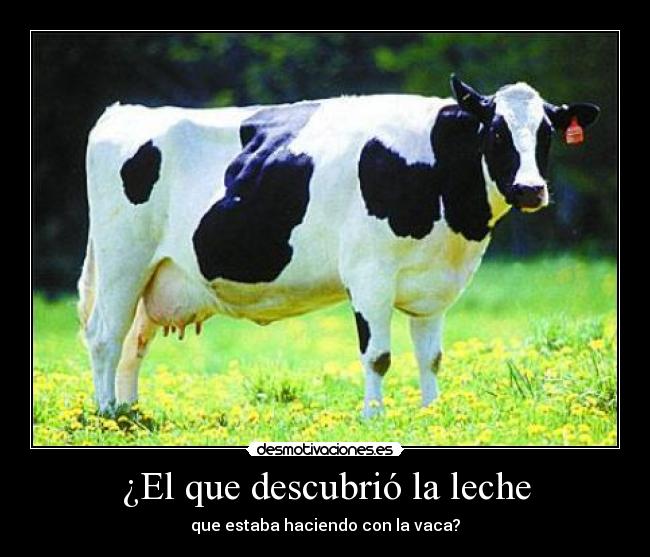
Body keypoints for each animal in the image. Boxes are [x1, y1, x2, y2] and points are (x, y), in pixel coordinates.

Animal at [77, 75, 600, 417]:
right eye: (496, 131)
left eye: (547, 134)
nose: (531, 189)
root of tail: (124, 111)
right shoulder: (369, 274)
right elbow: (379, 356)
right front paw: (373, 418)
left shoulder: (434, 286)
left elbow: (431, 356)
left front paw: (432, 413)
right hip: (123, 259)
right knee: (105, 335)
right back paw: (107, 414)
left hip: (157, 274)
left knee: (133, 341)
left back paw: (131, 413)